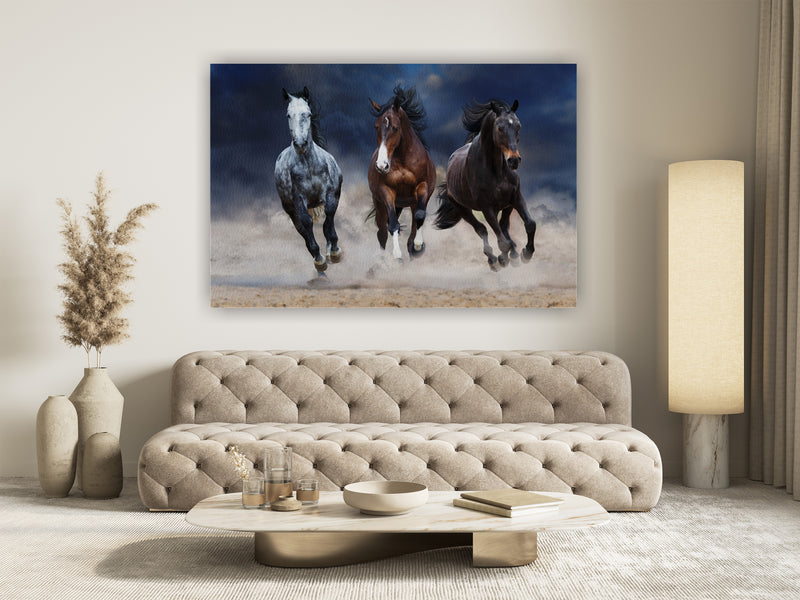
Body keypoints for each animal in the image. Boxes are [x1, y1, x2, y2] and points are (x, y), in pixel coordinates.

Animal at [274, 85, 342, 274]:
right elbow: (307, 223)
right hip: (290, 210)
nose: (300, 144)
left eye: (308, 113)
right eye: (288, 115)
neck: (309, 166)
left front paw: (334, 252)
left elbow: (329, 219)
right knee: (303, 232)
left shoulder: (331, 194)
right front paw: (319, 260)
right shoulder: (299, 200)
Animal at [368, 86, 438, 260]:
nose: (382, 165)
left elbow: (420, 215)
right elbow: (393, 225)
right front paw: (397, 255)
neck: (403, 160)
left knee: (414, 223)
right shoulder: (386, 191)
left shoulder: (422, 186)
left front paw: (418, 245)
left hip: (410, 203)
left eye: (395, 128)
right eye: (376, 126)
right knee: (382, 232)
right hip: (381, 204)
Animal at [434, 99, 536, 272]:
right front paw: (503, 259)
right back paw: (493, 259)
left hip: (506, 205)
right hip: (463, 209)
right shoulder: (487, 208)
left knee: (503, 226)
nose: (514, 160)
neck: (496, 170)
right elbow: (501, 241)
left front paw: (526, 254)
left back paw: (514, 255)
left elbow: (530, 224)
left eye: (518, 126)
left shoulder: (516, 197)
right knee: (482, 229)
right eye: (500, 128)